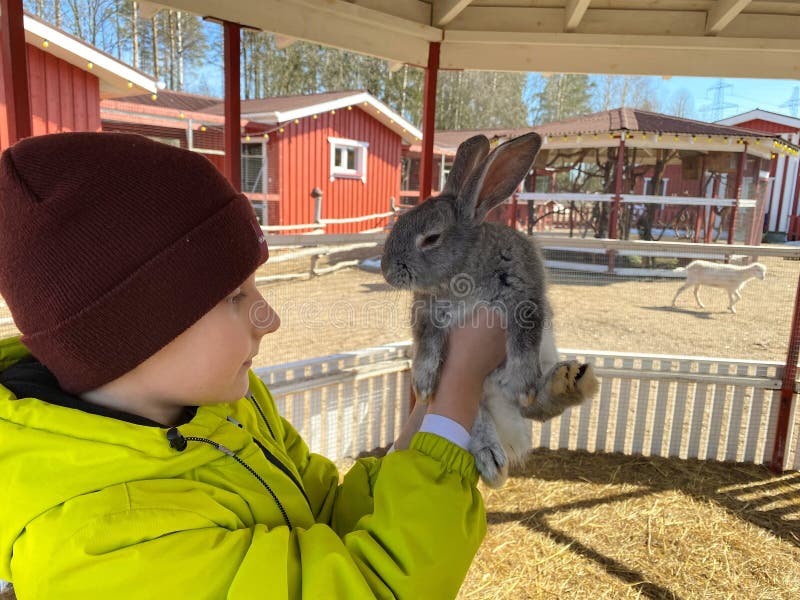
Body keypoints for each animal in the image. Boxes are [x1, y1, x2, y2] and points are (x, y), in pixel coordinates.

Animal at [382, 132, 600, 488]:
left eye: (431, 238)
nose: (387, 272)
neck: (464, 267)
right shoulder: (427, 311)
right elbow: (427, 345)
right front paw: (424, 384)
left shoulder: (525, 297)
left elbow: (524, 340)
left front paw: (523, 383)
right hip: (482, 395)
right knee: (484, 416)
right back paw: (492, 460)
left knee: (535, 407)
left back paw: (567, 382)